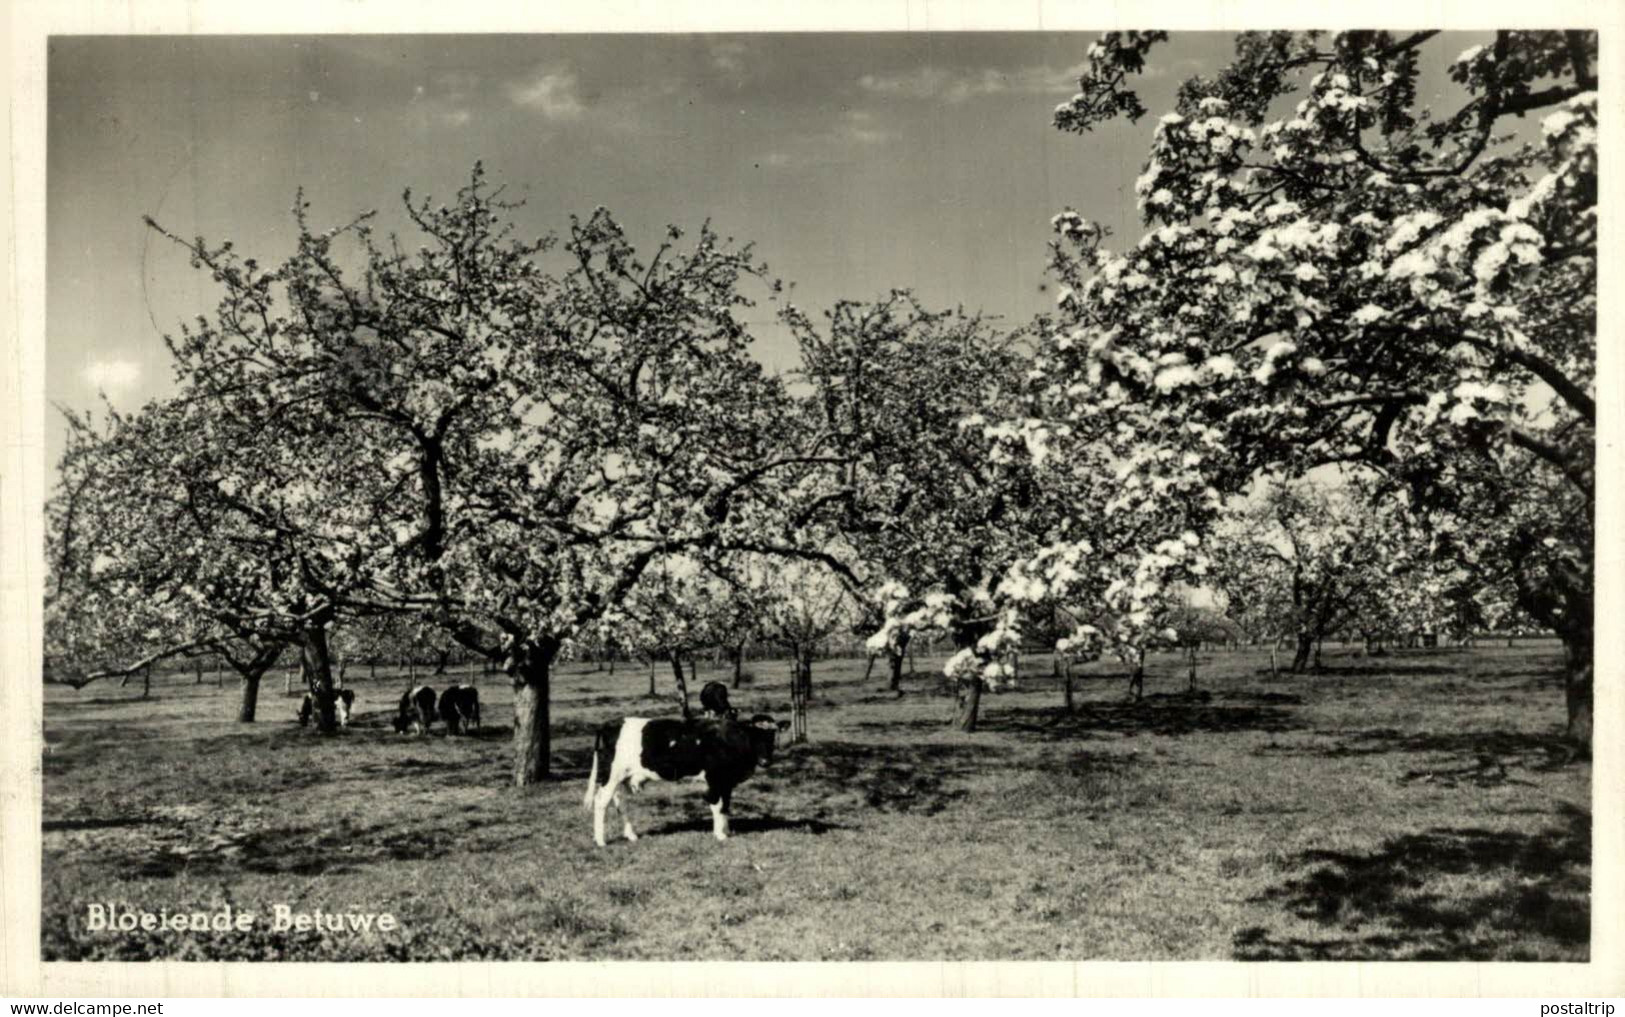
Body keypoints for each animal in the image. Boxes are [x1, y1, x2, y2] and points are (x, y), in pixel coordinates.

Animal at [581, 708, 789, 844]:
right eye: (754, 734)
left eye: (773, 735)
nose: (765, 761)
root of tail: (610, 723)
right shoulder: (715, 779)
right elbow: (717, 805)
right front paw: (720, 835)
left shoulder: (727, 781)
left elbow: (726, 806)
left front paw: (727, 830)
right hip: (612, 775)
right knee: (601, 802)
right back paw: (600, 841)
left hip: (621, 777)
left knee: (619, 802)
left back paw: (631, 835)